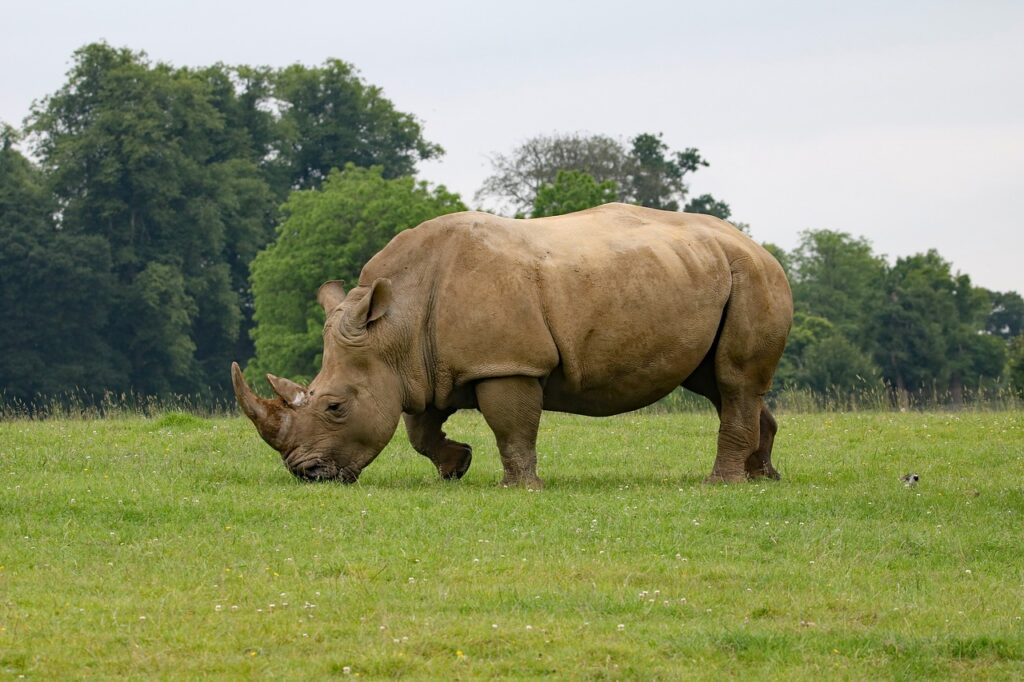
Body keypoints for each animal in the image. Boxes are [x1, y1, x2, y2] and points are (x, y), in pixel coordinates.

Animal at [232, 203, 793, 487]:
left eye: (334, 406)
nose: (306, 475)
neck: (394, 328)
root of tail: (758, 245)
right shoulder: (422, 367)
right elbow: (419, 429)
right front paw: (456, 467)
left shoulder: (506, 363)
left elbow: (512, 426)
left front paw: (519, 487)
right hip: (706, 273)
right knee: (720, 384)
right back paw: (764, 478)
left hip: (753, 277)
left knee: (733, 380)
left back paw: (722, 484)